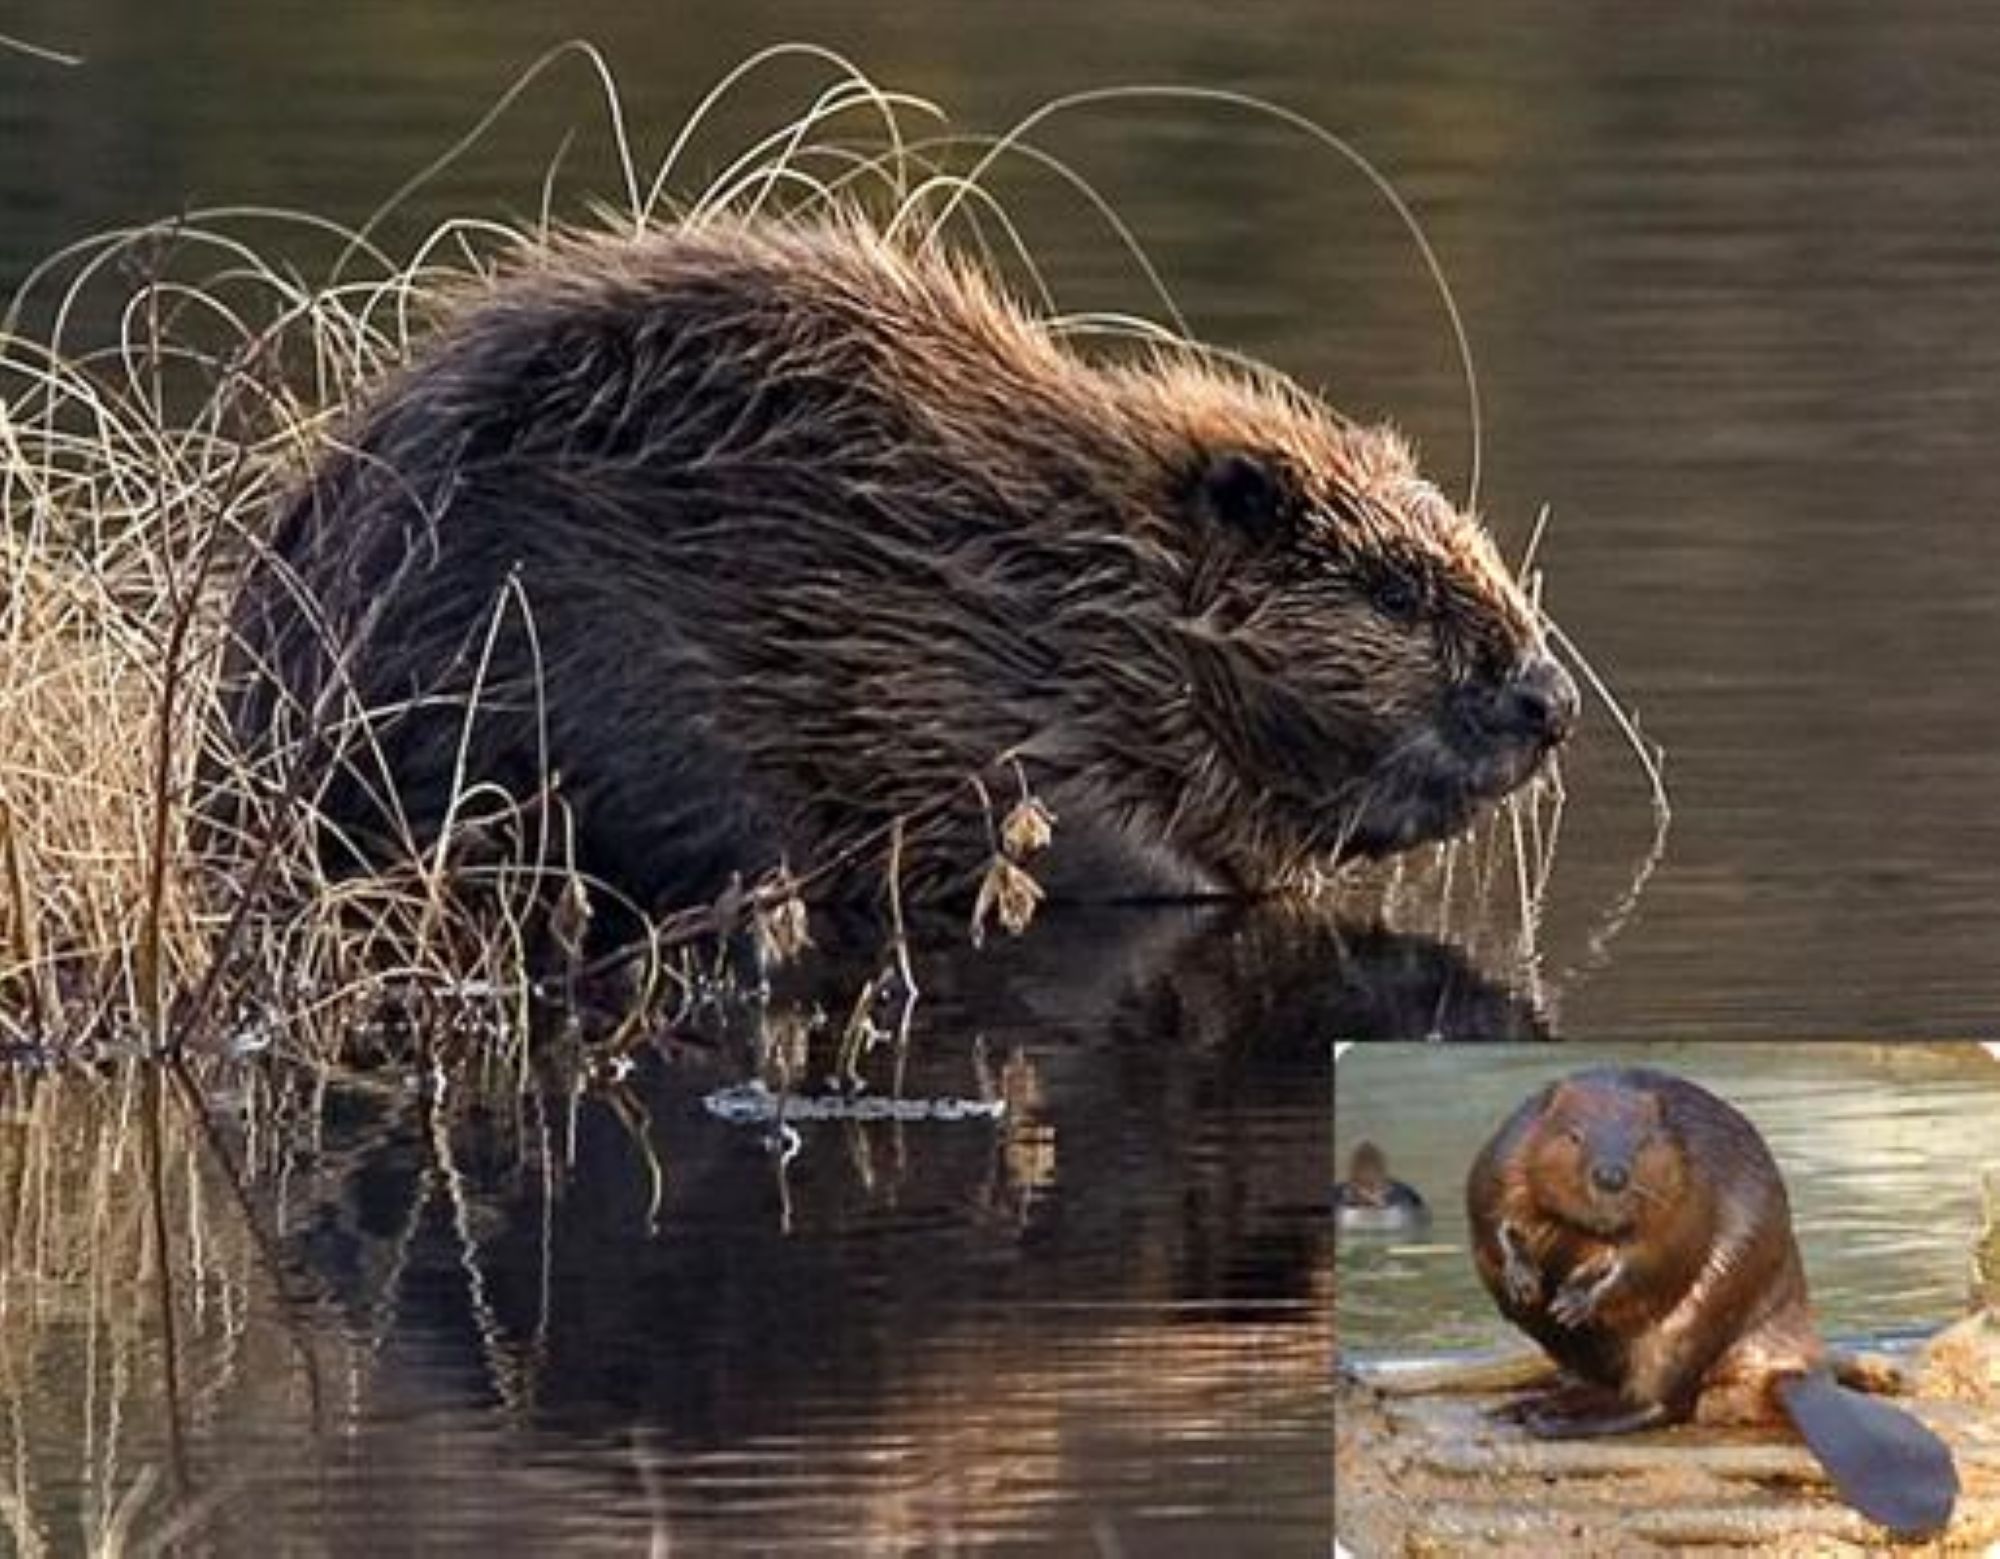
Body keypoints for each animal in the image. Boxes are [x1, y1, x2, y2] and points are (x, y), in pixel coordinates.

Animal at [1464, 1063, 1960, 1543]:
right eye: (1573, 1135)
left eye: (1644, 1143)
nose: (1610, 1176)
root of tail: (1793, 1372)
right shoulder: (1506, 1154)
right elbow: (1493, 1217)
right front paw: (1524, 1281)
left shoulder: (1687, 1191)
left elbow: (1655, 1254)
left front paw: (1574, 1300)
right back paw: (1525, 1406)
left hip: (1697, 1319)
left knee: (1662, 1401)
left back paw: (1554, 1421)